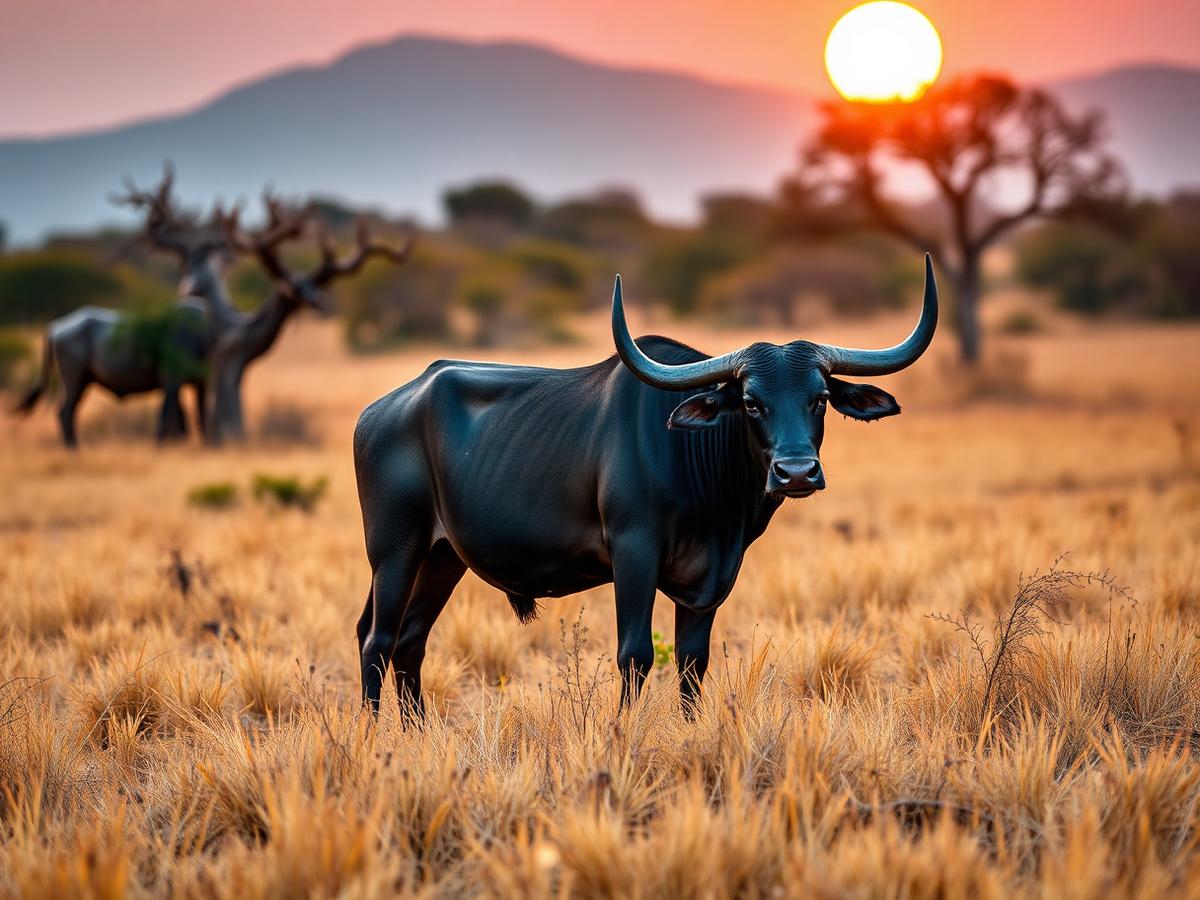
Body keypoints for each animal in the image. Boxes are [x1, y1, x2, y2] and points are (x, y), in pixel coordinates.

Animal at [353, 255, 938, 715]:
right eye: (751, 401)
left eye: (819, 397)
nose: (796, 472)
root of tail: (382, 410)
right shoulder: (634, 555)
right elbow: (635, 654)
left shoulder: (709, 581)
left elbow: (692, 662)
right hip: (395, 551)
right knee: (377, 639)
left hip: (442, 557)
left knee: (407, 641)